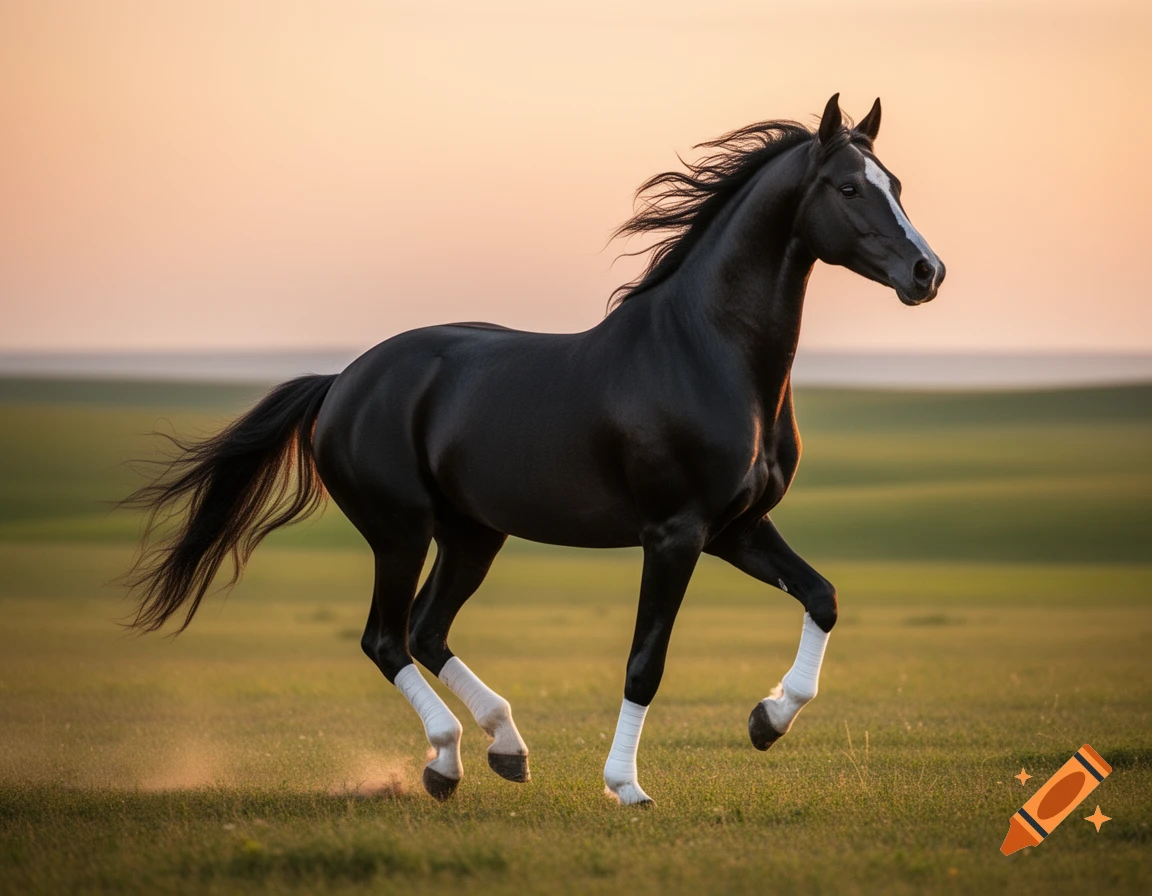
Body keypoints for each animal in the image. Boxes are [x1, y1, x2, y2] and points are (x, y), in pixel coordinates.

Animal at [122, 94, 944, 805]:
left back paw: (502, 747)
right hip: (400, 530)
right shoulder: (675, 534)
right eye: (849, 186)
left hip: (472, 533)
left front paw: (766, 721)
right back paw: (449, 759)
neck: (706, 355)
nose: (927, 272)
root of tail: (344, 382)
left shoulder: (737, 528)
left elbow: (822, 597)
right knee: (386, 638)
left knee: (426, 629)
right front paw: (626, 787)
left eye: (897, 184)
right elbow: (645, 663)